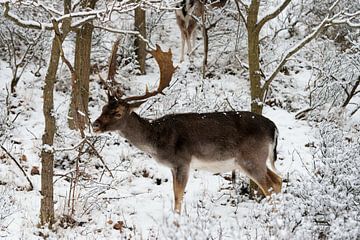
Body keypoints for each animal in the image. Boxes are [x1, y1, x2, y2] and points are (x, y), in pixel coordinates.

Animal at [92, 44, 282, 213]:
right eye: (103, 108)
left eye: (118, 113)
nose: (95, 125)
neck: (158, 140)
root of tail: (273, 128)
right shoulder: (173, 166)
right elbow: (175, 194)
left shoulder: (183, 161)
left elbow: (178, 196)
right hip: (252, 160)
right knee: (278, 180)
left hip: (252, 158)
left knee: (269, 186)